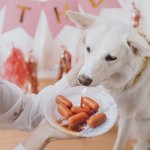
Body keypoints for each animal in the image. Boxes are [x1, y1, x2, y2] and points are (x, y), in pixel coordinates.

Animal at [67, 10, 150, 150]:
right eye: (88, 49)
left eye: (111, 58)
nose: (82, 80)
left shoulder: (127, 117)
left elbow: (119, 143)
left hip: (140, 126)